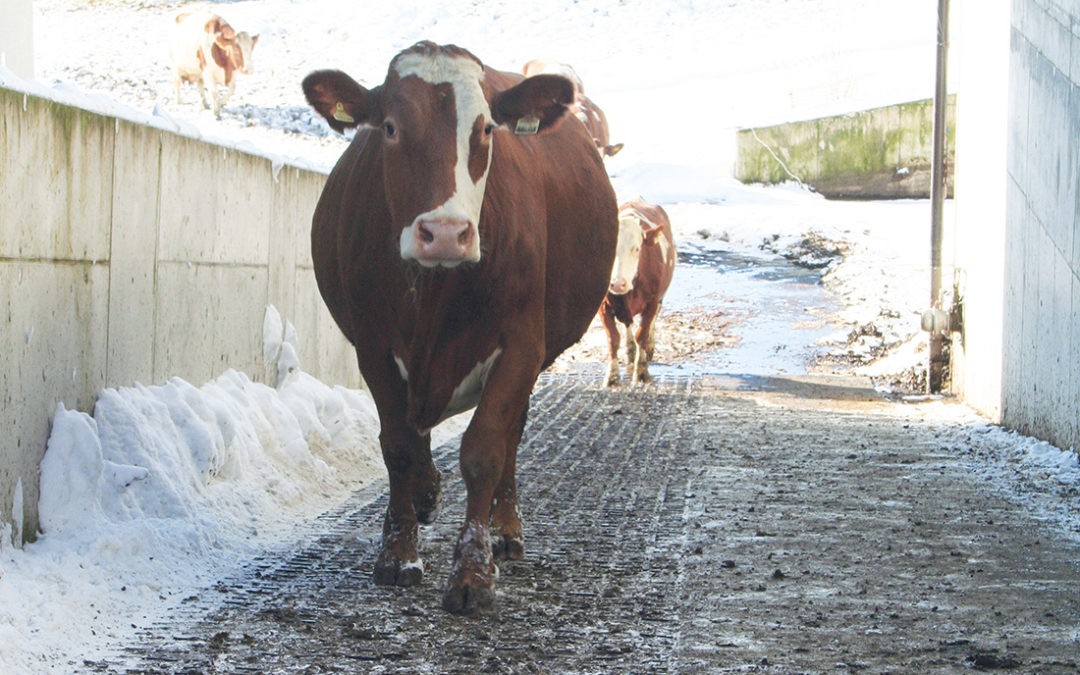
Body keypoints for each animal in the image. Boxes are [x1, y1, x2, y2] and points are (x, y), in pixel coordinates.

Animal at [304, 39, 622, 613]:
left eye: (487, 130)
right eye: (389, 127)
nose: (446, 232)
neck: (436, 294)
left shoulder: (520, 344)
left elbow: (485, 451)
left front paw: (474, 571)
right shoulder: (374, 346)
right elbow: (399, 447)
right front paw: (399, 553)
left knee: (512, 435)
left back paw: (505, 530)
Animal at [600, 197, 673, 384]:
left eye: (637, 249)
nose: (618, 284)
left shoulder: (652, 302)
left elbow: (643, 334)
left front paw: (641, 372)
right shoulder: (602, 306)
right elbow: (613, 338)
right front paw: (612, 376)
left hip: (660, 299)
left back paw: (649, 348)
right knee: (627, 325)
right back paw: (630, 349)